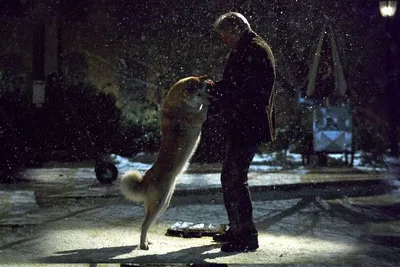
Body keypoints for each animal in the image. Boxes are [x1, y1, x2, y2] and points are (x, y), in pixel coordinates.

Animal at [119, 76, 214, 251]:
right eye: (198, 88)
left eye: (200, 80)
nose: (208, 79)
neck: (179, 104)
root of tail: (146, 178)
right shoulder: (197, 117)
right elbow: (203, 109)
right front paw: (207, 102)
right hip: (159, 203)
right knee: (144, 225)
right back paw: (143, 245)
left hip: (163, 204)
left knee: (147, 224)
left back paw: (148, 241)